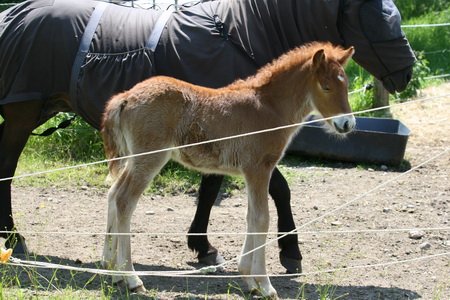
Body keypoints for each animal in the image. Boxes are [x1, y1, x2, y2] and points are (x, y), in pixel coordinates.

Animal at [0, 0, 414, 274]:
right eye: (381, 15)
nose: (407, 72)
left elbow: (220, 194)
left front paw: (210, 250)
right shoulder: (254, 160)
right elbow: (270, 198)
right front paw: (284, 256)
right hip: (30, 115)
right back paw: (24, 241)